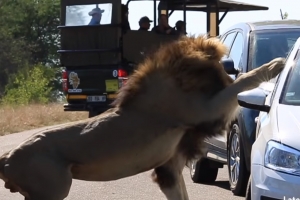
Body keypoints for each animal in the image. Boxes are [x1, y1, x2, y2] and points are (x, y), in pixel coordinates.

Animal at [0, 35, 284, 199]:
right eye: (224, 67)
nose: (230, 69)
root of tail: (7, 157)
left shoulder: (169, 165)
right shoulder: (206, 110)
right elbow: (241, 84)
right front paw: (276, 64)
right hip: (54, 189)